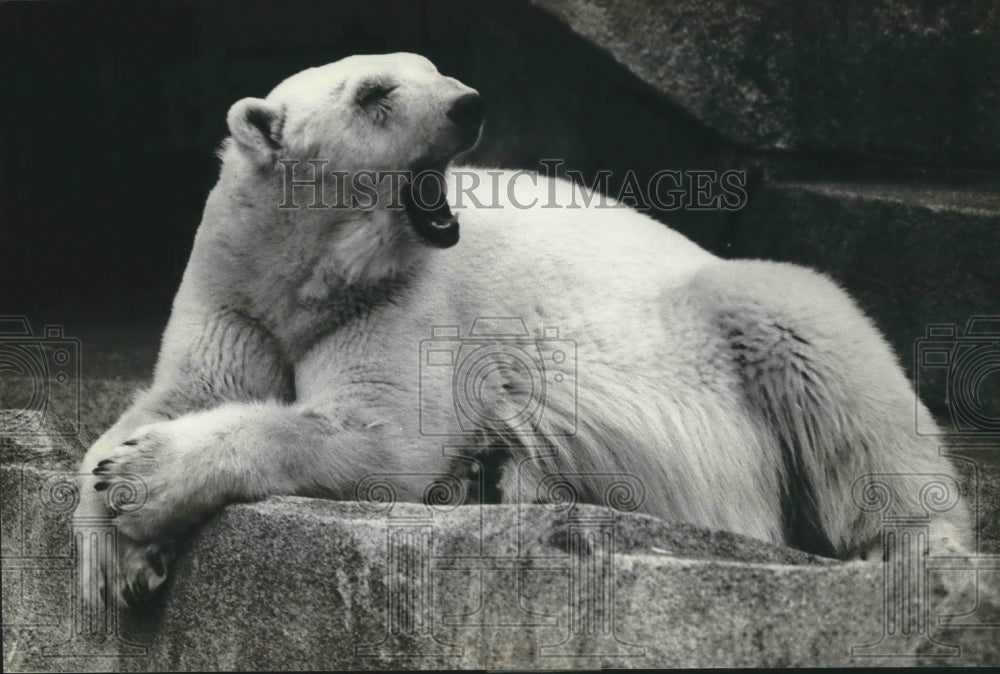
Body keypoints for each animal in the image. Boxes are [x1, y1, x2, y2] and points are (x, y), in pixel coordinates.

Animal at [74, 52, 972, 608]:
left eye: (431, 68)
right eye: (374, 92)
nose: (467, 104)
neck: (307, 271)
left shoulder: (411, 302)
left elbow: (377, 436)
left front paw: (142, 483)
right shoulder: (233, 289)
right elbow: (177, 396)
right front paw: (115, 553)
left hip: (725, 310)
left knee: (821, 352)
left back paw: (922, 552)